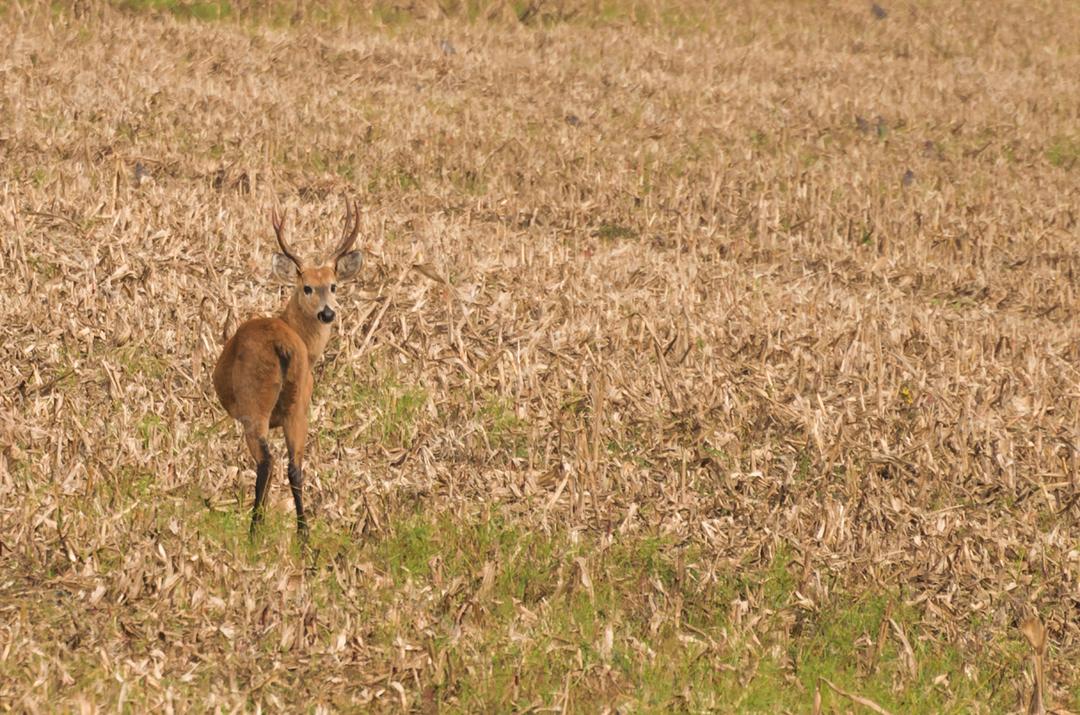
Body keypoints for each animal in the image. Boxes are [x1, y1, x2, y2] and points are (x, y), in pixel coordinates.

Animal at [213, 199, 364, 540]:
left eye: (333, 286)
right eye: (307, 287)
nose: (327, 313)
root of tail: (282, 346)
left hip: (255, 402)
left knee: (266, 461)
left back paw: (254, 531)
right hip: (300, 404)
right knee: (295, 466)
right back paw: (304, 536)